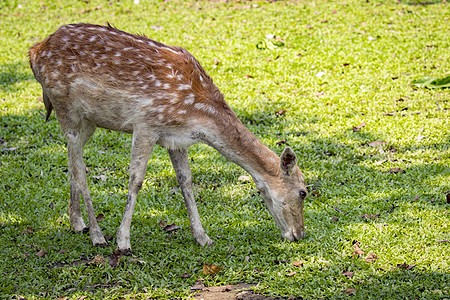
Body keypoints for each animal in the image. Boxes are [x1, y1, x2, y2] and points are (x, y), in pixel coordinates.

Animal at [29, 23, 310, 254]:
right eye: (303, 192)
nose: (299, 234)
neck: (198, 112)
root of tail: (35, 51)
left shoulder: (177, 139)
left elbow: (186, 183)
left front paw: (203, 238)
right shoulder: (146, 124)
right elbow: (136, 181)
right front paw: (123, 242)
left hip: (88, 122)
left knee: (71, 160)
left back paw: (77, 223)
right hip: (65, 106)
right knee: (80, 169)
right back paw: (97, 235)